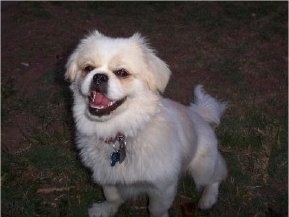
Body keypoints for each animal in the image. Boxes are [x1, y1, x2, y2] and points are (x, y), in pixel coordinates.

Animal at [65, 30, 227, 217]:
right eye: (88, 68)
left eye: (122, 72)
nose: (99, 76)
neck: (121, 134)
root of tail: (199, 115)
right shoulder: (105, 174)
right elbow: (112, 195)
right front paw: (106, 209)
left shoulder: (163, 187)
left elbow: (156, 209)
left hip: (202, 169)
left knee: (218, 175)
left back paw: (208, 198)